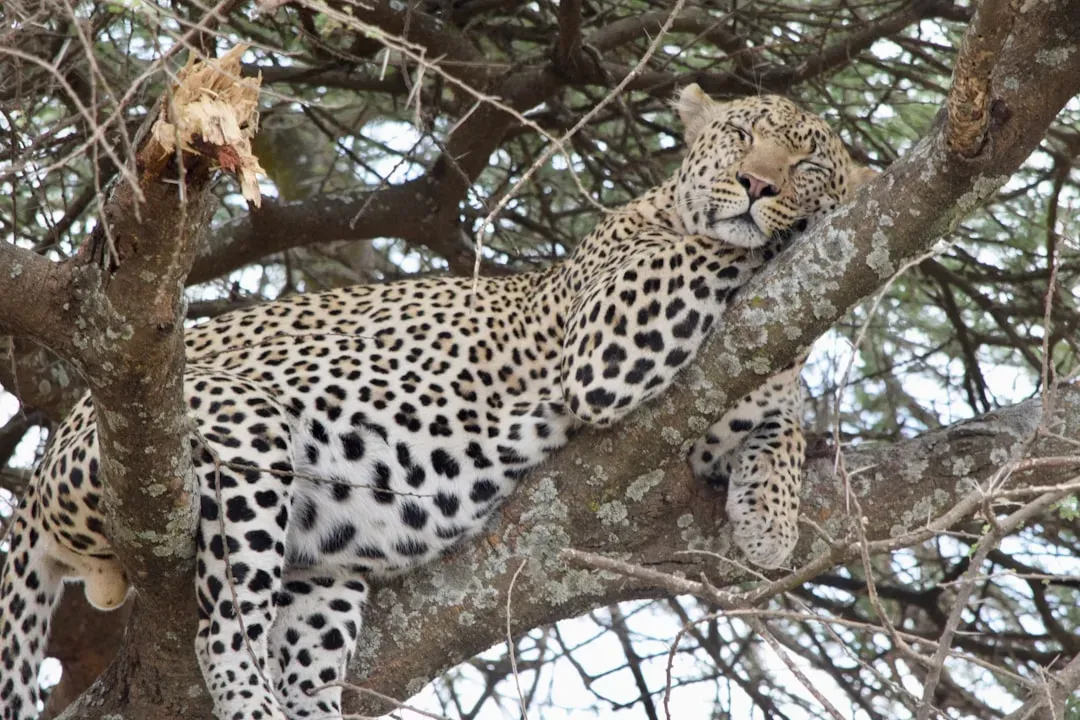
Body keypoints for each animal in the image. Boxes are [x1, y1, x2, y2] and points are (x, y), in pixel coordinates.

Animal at [0, 84, 875, 720]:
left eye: (809, 163)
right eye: (742, 137)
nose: (761, 185)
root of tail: (45, 464)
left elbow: (781, 419)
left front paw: (769, 518)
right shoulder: (610, 339)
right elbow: (713, 249)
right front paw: (782, 230)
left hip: (324, 572)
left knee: (302, 658)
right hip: (239, 432)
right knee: (223, 637)